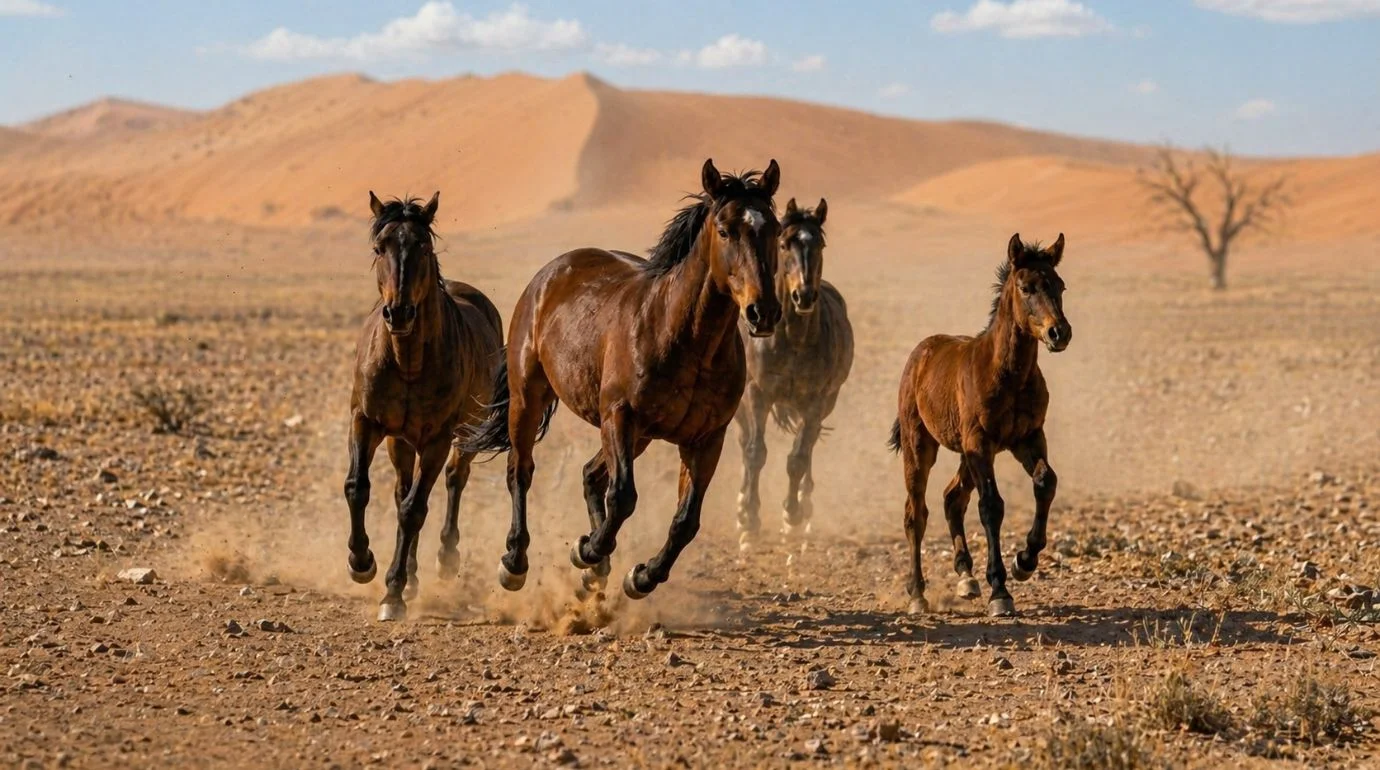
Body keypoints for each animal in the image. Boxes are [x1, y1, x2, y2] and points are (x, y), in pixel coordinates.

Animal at [343, 192, 504, 621]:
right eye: (379, 247)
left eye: (423, 246)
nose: (399, 313)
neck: (407, 360)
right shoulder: (365, 422)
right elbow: (358, 488)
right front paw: (361, 562)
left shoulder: (437, 440)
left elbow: (414, 509)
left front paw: (393, 593)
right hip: (400, 441)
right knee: (402, 487)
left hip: (465, 433)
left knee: (453, 480)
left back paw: (445, 559)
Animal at [464, 158, 783, 599]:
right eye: (725, 230)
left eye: (776, 229)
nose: (762, 312)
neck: (685, 339)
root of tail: (550, 273)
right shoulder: (620, 416)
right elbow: (624, 497)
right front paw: (587, 550)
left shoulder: (706, 440)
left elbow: (686, 521)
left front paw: (640, 576)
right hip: (528, 397)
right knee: (521, 469)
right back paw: (516, 562)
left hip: (641, 437)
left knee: (589, 474)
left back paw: (595, 571)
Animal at [734, 198, 853, 550]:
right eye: (784, 243)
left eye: (820, 244)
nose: (804, 295)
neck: (793, 339)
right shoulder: (757, 394)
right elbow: (755, 452)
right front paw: (750, 522)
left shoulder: (815, 400)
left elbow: (798, 457)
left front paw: (792, 516)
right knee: (745, 442)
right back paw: (742, 508)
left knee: (809, 445)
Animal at [888, 233, 1072, 618]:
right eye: (1026, 287)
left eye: (1060, 285)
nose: (1059, 332)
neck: (1009, 375)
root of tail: (919, 353)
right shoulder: (980, 443)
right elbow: (991, 506)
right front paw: (1000, 591)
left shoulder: (1028, 438)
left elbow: (1045, 482)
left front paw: (1024, 562)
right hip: (921, 446)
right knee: (916, 512)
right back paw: (917, 594)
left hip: (966, 453)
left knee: (951, 498)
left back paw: (966, 577)